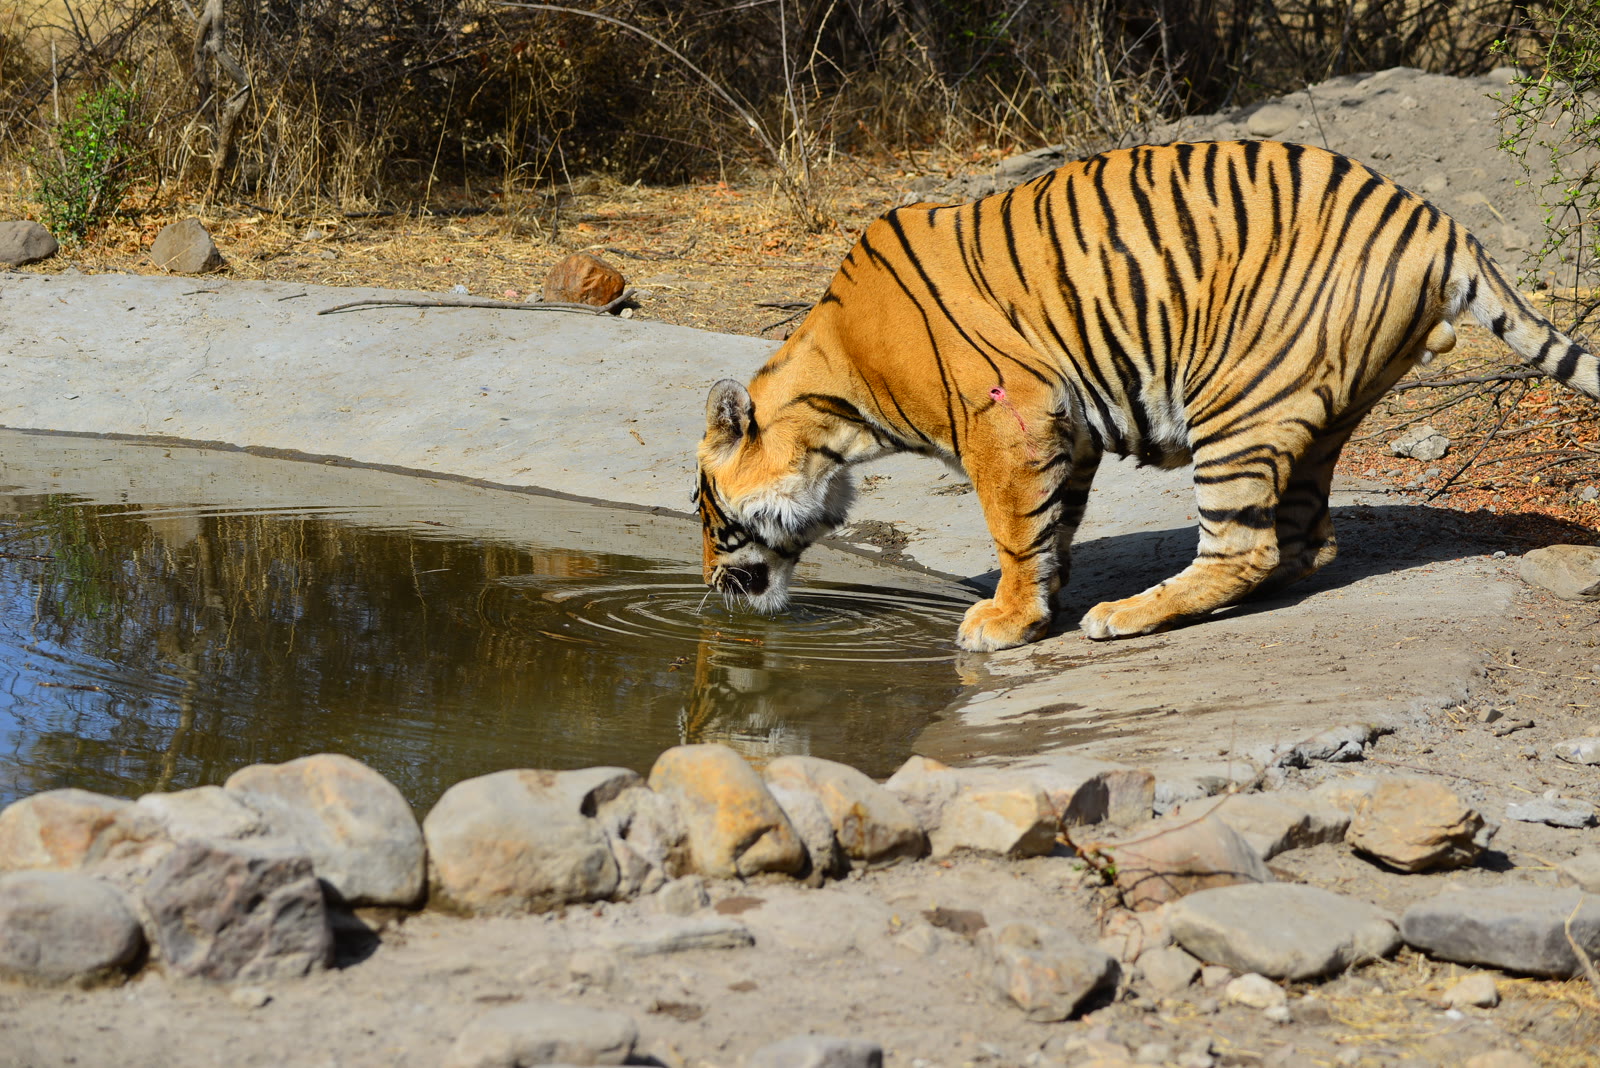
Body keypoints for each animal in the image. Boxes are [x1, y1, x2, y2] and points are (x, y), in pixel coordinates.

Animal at [694, 139, 1600, 652]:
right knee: (1301, 540)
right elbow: (1051, 525)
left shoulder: (1007, 419)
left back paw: (1126, 616)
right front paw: (1042, 600)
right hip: (1323, 411)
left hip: (1235, 400)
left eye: (708, 515)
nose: (707, 588)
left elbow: (1014, 530)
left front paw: (1005, 621)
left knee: (1245, 546)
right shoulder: (1065, 428)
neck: (836, 405)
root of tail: (1438, 223)